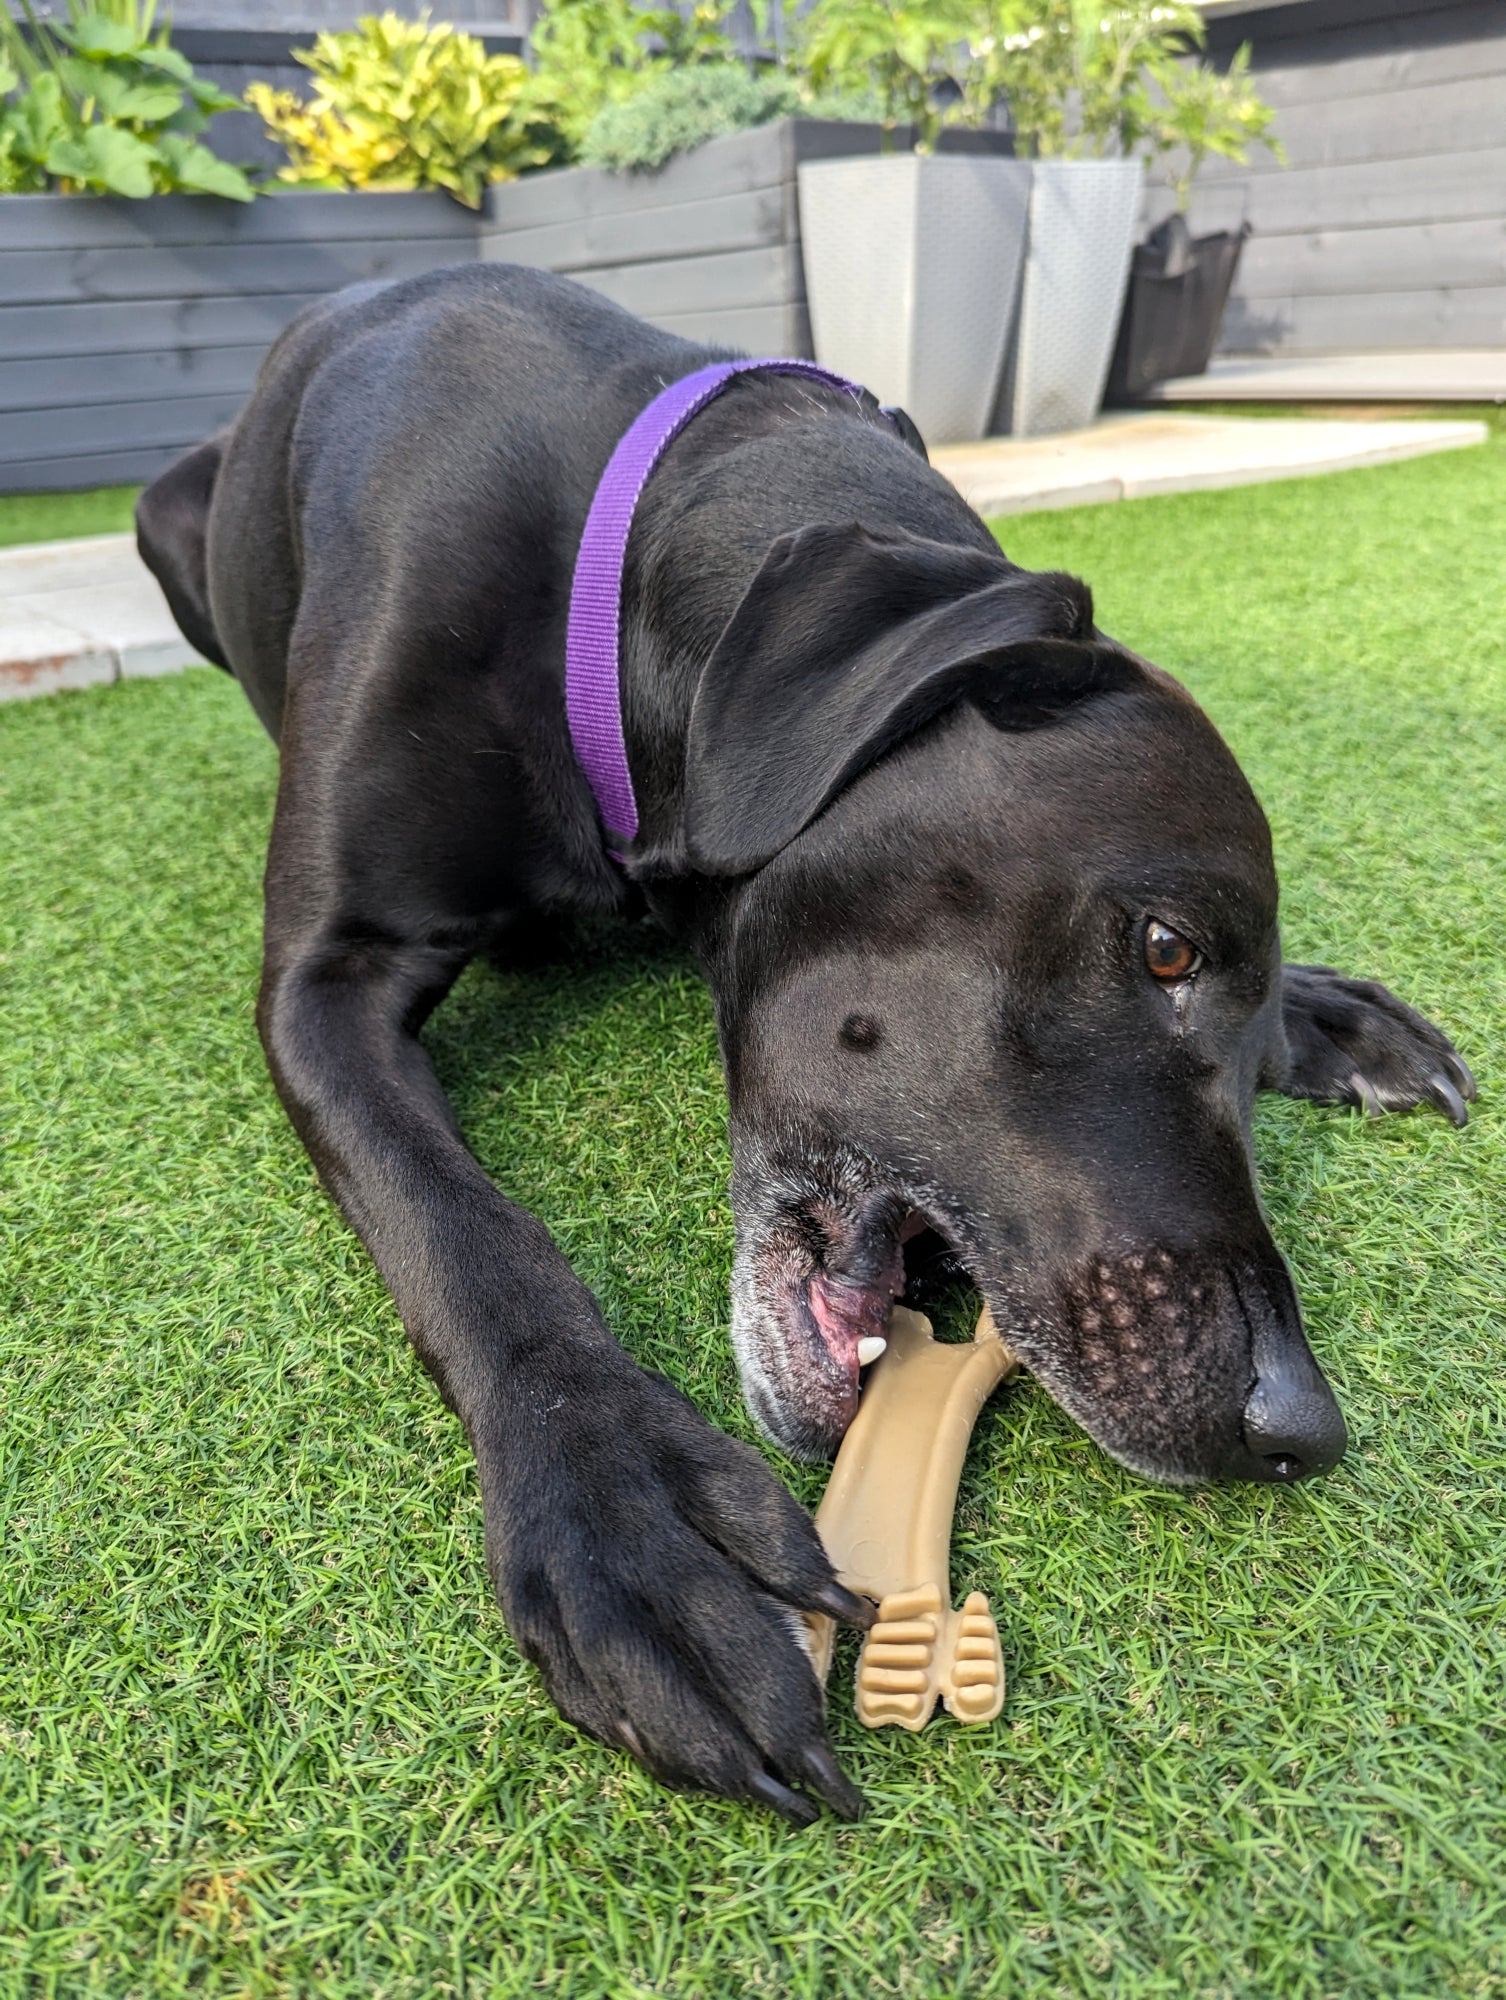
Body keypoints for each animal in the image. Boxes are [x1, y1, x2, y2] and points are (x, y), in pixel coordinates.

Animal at [135, 266, 1472, 1832]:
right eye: (1166, 947)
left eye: (1245, 1043)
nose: (1300, 1426)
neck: (606, 561)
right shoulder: (323, 984)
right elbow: (467, 1231)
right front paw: (628, 1510)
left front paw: (1323, 1010)